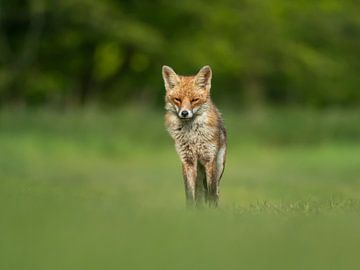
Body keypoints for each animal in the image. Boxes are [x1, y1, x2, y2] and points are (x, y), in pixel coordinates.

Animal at [162, 65, 226, 207]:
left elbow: (211, 194)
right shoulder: (187, 161)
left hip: (219, 166)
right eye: (178, 99)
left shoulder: (209, 159)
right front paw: (191, 212)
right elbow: (190, 195)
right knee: (200, 194)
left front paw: (212, 210)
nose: (184, 113)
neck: (192, 136)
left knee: (216, 192)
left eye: (194, 100)